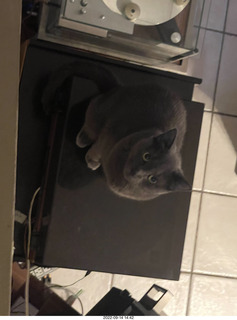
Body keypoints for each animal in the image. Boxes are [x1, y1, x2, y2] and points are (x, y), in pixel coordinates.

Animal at [41, 61, 190, 200]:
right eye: (146, 156)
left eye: (152, 179)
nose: (136, 172)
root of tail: (120, 88)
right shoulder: (110, 133)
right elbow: (98, 148)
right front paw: (92, 160)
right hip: (102, 110)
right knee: (92, 113)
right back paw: (82, 139)